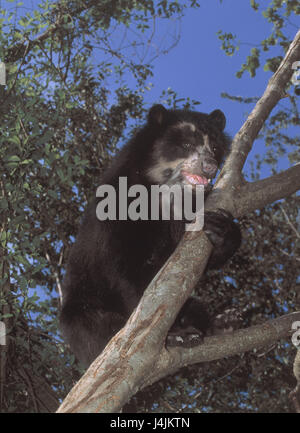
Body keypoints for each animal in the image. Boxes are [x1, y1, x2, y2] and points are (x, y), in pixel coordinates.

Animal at [59, 103, 241, 366]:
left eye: (215, 148)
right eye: (186, 145)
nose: (209, 166)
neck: (164, 192)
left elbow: (186, 260)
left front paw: (221, 229)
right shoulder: (118, 210)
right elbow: (129, 271)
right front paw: (176, 333)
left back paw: (224, 321)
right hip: (82, 310)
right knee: (95, 326)